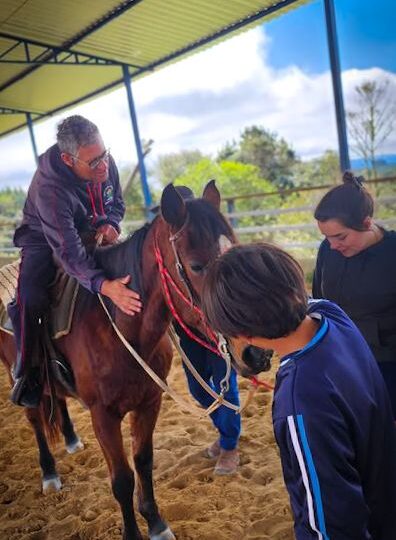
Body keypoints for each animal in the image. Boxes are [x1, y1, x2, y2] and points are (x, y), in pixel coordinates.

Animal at [0, 180, 244, 540]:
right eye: (197, 266)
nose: (254, 352)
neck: (122, 328)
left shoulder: (149, 402)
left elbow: (143, 462)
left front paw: (156, 523)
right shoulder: (103, 415)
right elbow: (122, 480)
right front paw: (133, 531)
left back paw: (71, 440)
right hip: (17, 374)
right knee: (35, 419)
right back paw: (49, 473)